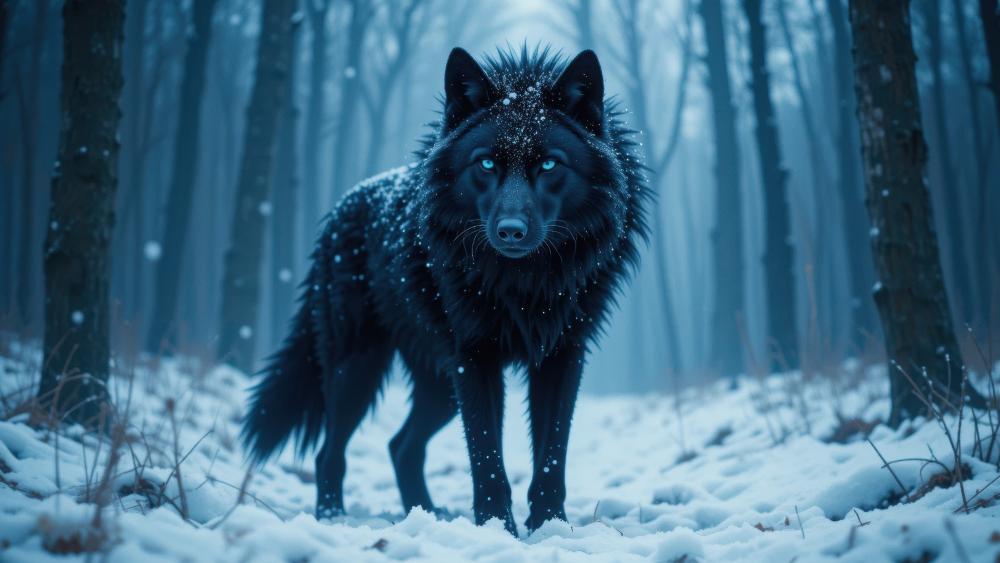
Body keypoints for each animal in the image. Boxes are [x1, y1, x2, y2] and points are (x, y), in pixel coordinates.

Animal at [242, 46, 649, 536]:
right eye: (486, 163)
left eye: (550, 164)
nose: (510, 231)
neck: (525, 282)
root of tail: (339, 210)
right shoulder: (474, 358)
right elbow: (487, 459)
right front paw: (497, 529)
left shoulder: (564, 355)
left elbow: (551, 458)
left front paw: (550, 526)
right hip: (358, 369)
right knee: (329, 452)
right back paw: (333, 519)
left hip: (437, 387)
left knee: (401, 446)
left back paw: (425, 514)